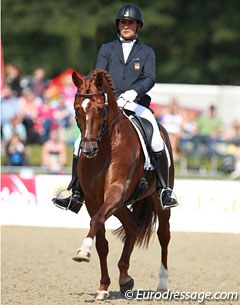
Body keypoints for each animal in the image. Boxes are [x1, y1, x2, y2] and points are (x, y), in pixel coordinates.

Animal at [71, 69, 174, 300]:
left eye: (101, 109)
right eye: (77, 108)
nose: (88, 150)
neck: (105, 146)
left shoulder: (116, 191)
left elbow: (97, 221)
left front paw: (83, 250)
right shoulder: (93, 200)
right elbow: (101, 240)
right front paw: (103, 286)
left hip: (156, 201)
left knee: (163, 235)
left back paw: (162, 284)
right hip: (119, 205)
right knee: (132, 227)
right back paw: (125, 278)